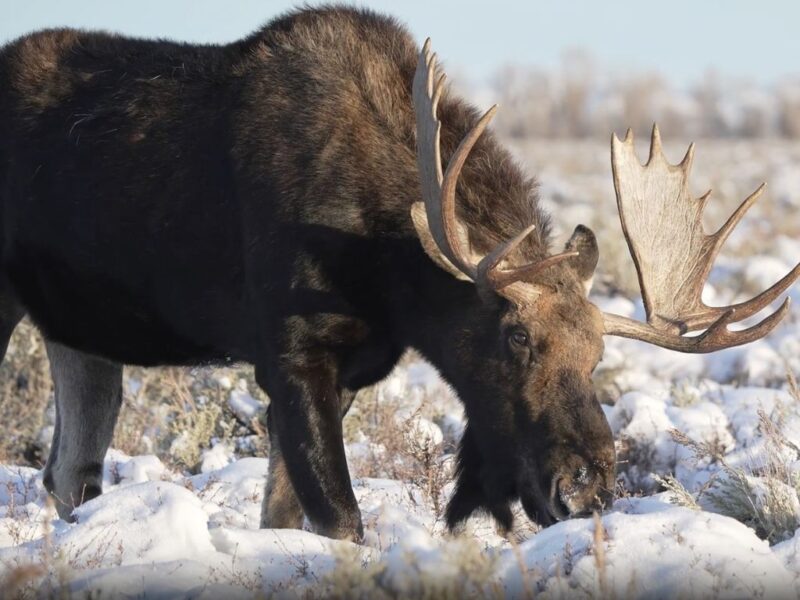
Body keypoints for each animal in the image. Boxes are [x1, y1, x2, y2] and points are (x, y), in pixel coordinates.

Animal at [0, 5, 796, 540]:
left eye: (599, 354)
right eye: (514, 336)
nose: (588, 490)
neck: (386, 271)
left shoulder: (354, 367)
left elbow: (283, 516)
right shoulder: (290, 353)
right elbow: (339, 519)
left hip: (80, 331)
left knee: (67, 471)